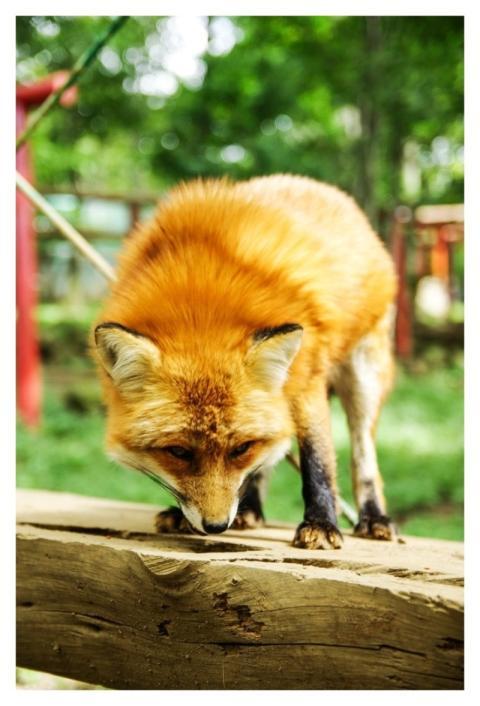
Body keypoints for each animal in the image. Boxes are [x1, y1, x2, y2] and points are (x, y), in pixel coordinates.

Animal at [92, 174, 397, 549]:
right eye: (178, 451)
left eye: (241, 448)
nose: (215, 526)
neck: (202, 300)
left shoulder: (307, 378)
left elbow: (317, 460)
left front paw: (321, 524)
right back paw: (249, 509)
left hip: (363, 377)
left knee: (364, 458)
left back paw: (374, 517)